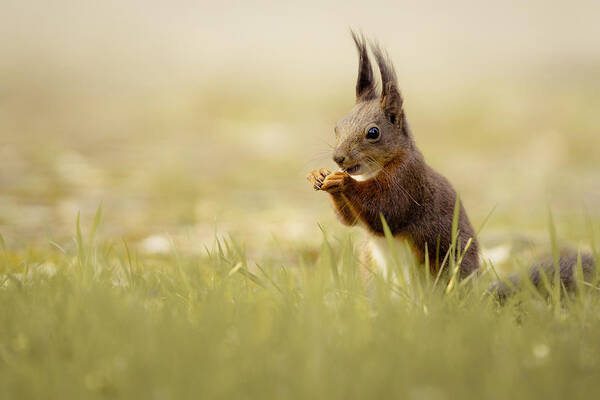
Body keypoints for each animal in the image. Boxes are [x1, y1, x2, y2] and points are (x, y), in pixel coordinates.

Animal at [308, 32, 596, 294]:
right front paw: (319, 175)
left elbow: (385, 210)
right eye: (337, 126)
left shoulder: (408, 181)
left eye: (373, 132)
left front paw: (343, 181)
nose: (338, 158)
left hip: (438, 268)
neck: (373, 171)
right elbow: (349, 220)